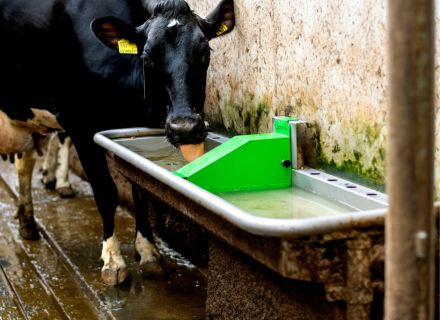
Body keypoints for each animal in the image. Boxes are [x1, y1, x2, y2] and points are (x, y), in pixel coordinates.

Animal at [0, 0, 235, 284]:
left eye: (205, 53)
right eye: (147, 58)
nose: (185, 127)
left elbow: (142, 193)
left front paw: (149, 252)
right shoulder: (78, 122)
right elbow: (105, 192)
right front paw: (113, 259)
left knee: (25, 163)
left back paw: (27, 221)